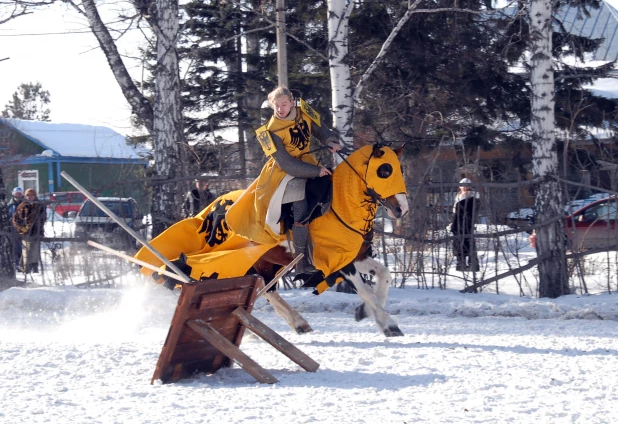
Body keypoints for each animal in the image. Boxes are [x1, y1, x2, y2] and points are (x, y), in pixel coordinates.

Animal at [137, 144, 410, 336]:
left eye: (399, 169)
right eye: (384, 171)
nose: (402, 210)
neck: (341, 207)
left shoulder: (356, 256)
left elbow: (384, 277)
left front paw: (366, 312)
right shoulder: (339, 261)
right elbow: (365, 290)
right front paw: (388, 324)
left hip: (265, 261)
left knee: (266, 289)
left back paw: (296, 323)